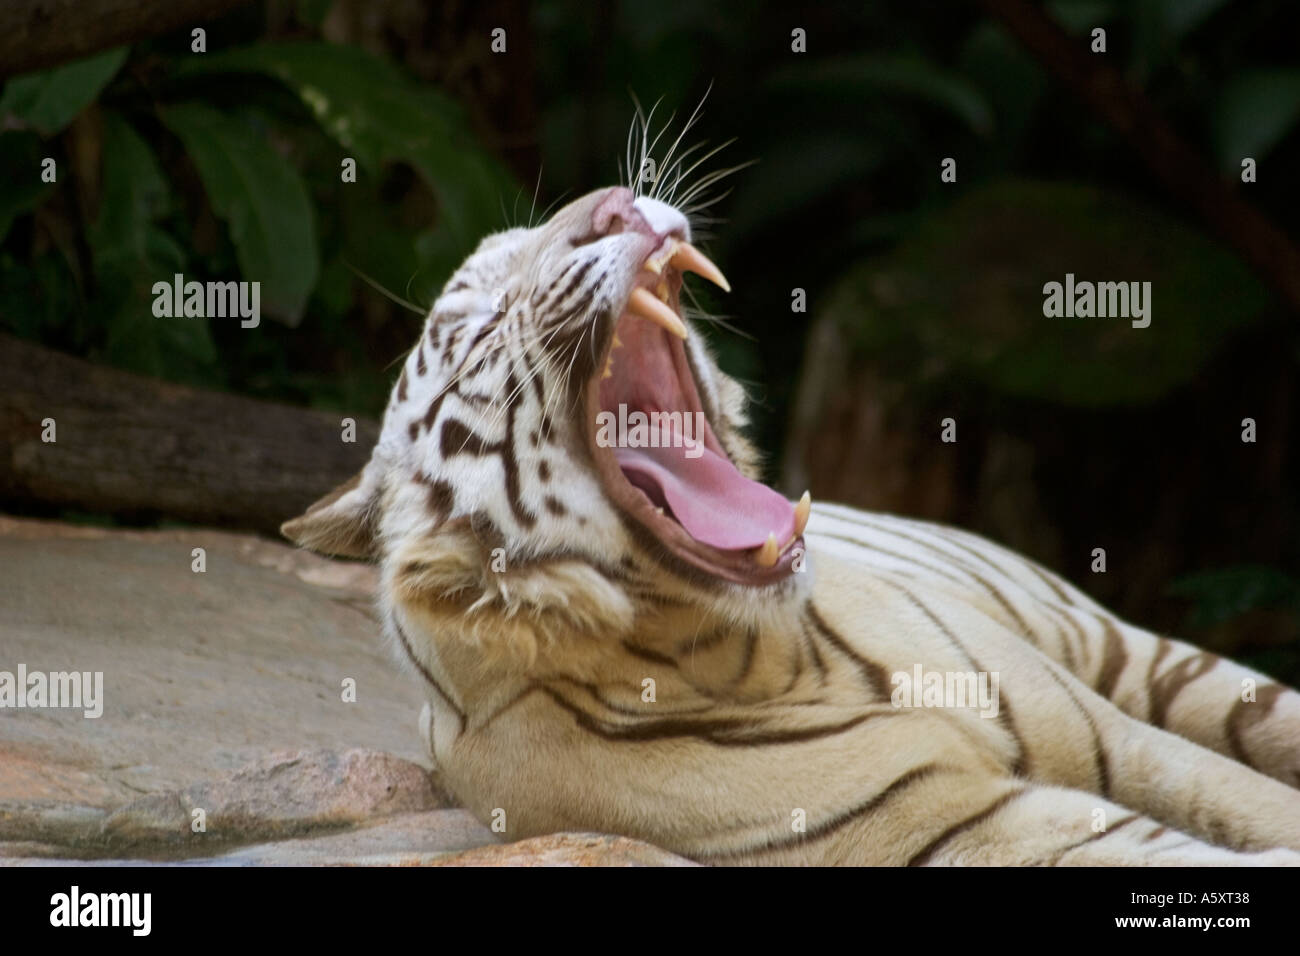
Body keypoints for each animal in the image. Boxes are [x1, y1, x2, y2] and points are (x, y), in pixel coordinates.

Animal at [282, 173, 1300, 865]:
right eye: (483, 322)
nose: (613, 202)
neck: (770, 650)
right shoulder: (982, 826)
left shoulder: (1117, 739)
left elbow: (1245, 797)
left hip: (1146, 658)